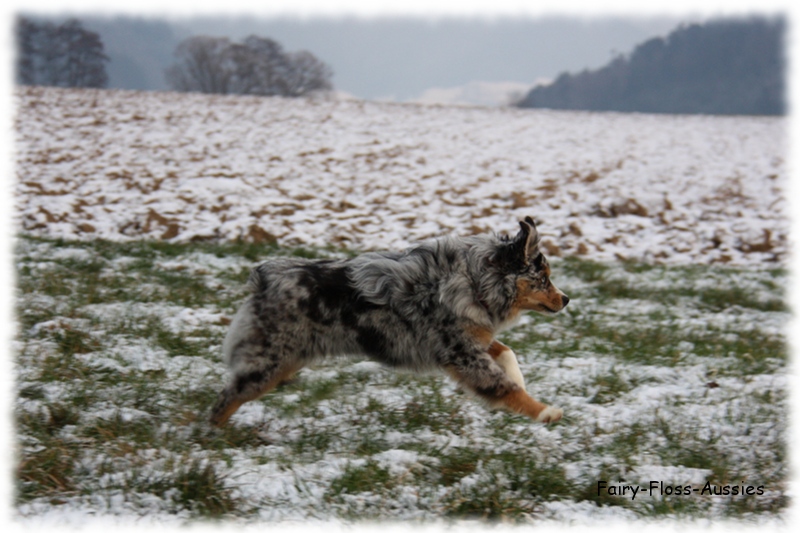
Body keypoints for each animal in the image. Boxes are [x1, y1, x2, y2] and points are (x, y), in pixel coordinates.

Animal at [209, 214, 564, 426]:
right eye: (544, 279)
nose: (567, 299)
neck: (475, 281)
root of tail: (265, 277)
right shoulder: (462, 354)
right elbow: (504, 388)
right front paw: (544, 411)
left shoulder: (470, 340)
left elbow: (506, 352)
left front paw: (520, 378)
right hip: (268, 362)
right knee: (224, 400)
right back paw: (215, 441)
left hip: (286, 360)